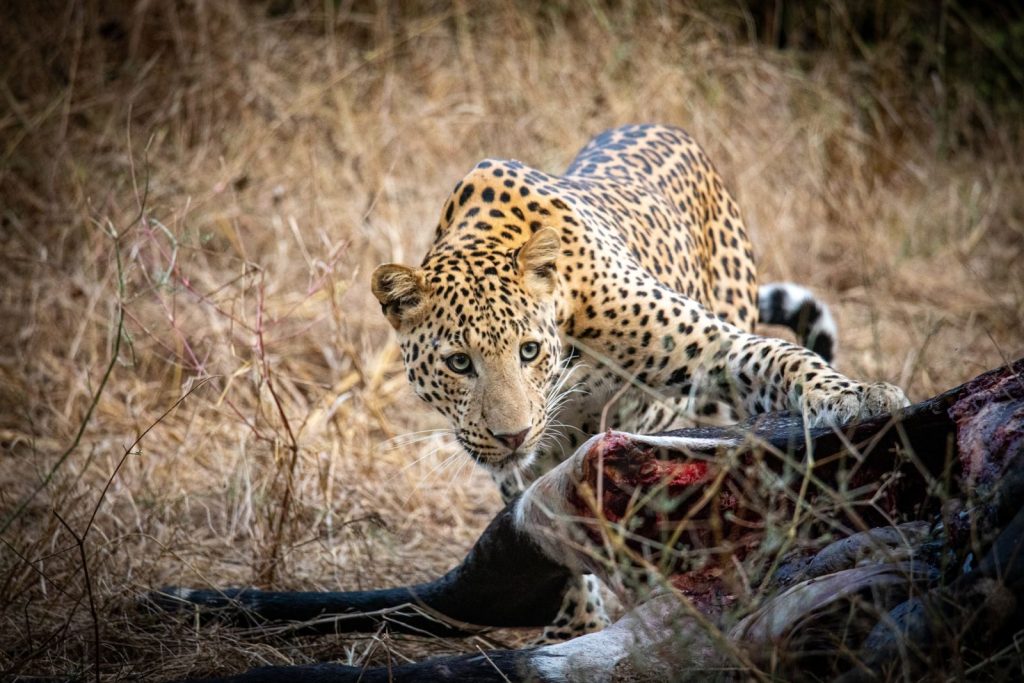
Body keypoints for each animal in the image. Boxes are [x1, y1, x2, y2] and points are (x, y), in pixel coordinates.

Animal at [372, 123, 908, 642]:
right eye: (459, 363)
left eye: (528, 351)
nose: (513, 435)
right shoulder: (524, 461)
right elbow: (546, 524)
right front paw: (577, 625)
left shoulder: (713, 347)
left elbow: (783, 356)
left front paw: (855, 395)